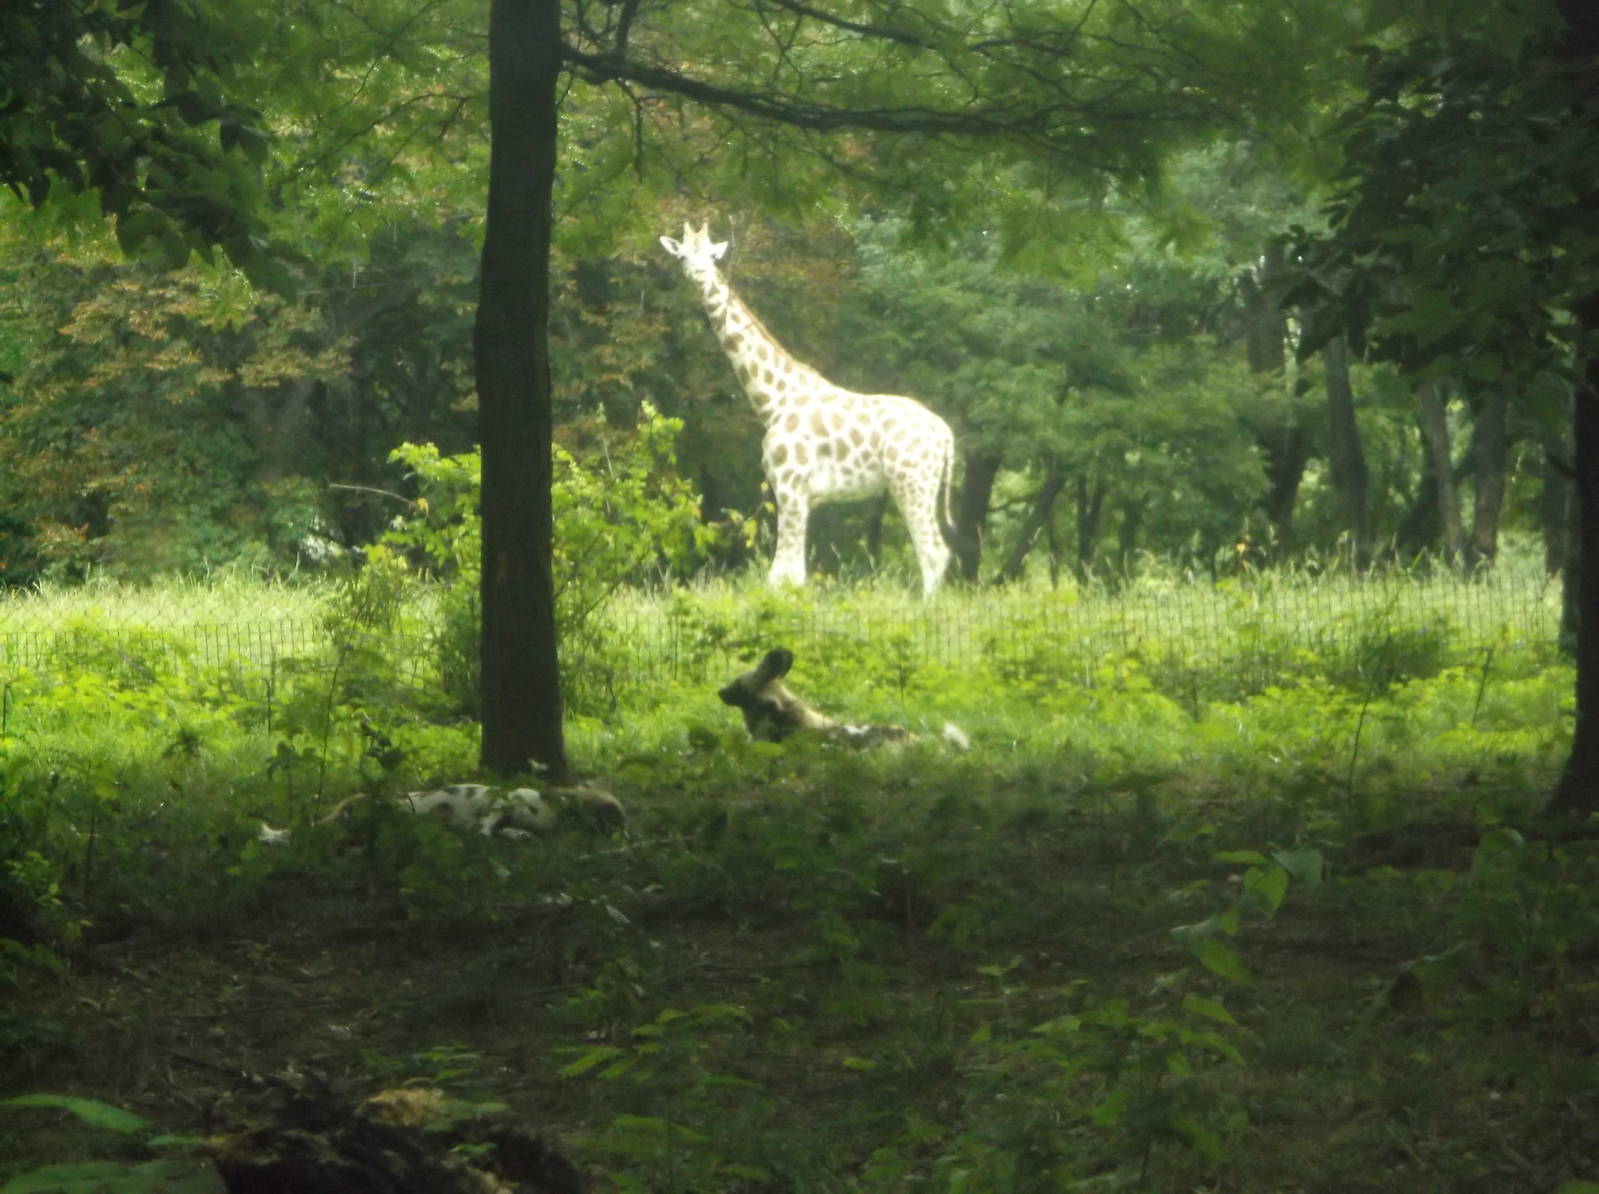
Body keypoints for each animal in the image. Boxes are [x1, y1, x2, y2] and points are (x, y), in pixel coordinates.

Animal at [659, 222, 959, 597]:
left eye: (712, 255)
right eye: (683, 255)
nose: (698, 273)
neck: (774, 400)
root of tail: (944, 433)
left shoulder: (791, 484)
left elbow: (782, 574)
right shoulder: (798, 493)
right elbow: (794, 573)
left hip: (913, 482)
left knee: (933, 550)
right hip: (921, 484)